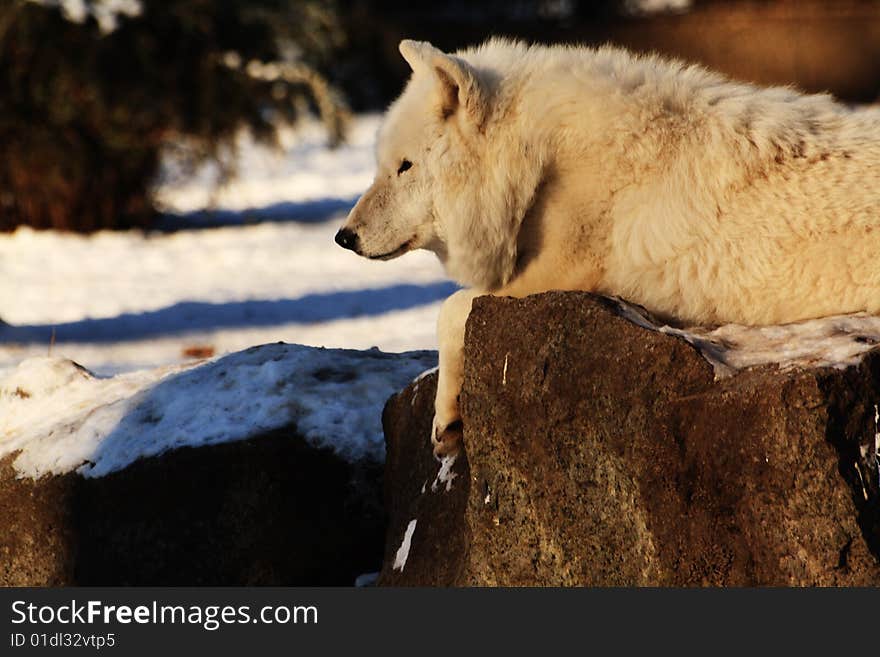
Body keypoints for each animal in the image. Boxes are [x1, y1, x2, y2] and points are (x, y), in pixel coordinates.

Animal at [336, 38, 880, 454]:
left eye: (404, 166)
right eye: (382, 164)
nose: (344, 237)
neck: (539, 161)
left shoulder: (561, 278)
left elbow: (448, 311)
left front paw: (446, 419)